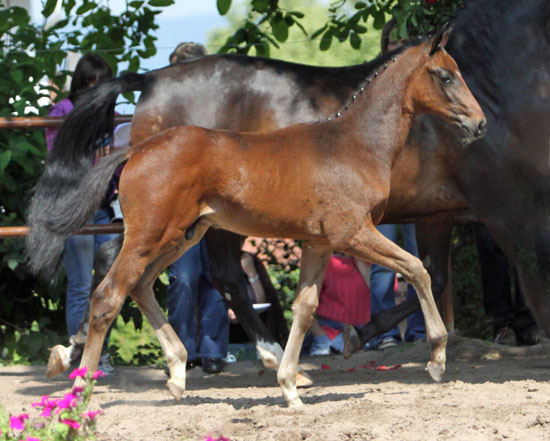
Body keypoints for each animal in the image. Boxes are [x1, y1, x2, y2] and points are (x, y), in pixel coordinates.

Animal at [31, 0, 550, 378]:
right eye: (445, 76)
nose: (477, 124)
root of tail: (153, 78)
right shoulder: (501, 208)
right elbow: (512, 274)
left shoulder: (430, 215)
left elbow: (431, 276)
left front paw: (364, 337)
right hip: (180, 229)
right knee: (192, 278)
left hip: (183, 228)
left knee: (130, 273)